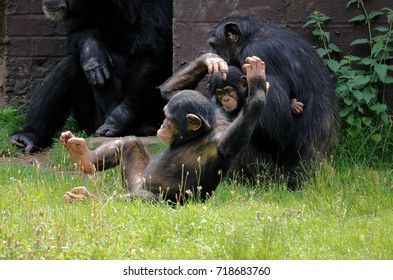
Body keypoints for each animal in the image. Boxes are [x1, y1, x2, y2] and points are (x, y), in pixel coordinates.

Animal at [9, 0, 172, 153]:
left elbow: (152, 52)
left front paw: (119, 117)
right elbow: (80, 28)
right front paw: (93, 55)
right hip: (89, 121)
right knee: (72, 64)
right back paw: (29, 136)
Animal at [62, 56, 270, 203]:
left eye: (169, 119)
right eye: (165, 115)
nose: (161, 124)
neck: (194, 136)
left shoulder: (221, 137)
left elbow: (233, 141)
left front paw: (257, 85)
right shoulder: (217, 111)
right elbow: (168, 92)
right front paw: (211, 60)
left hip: (158, 199)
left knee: (143, 196)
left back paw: (84, 197)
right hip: (135, 181)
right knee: (131, 142)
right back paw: (83, 156)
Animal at [161, 13, 338, 189]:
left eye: (214, 45)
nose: (213, 52)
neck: (251, 37)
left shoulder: (258, 53)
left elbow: (278, 129)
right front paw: (209, 60)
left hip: (272, 176)